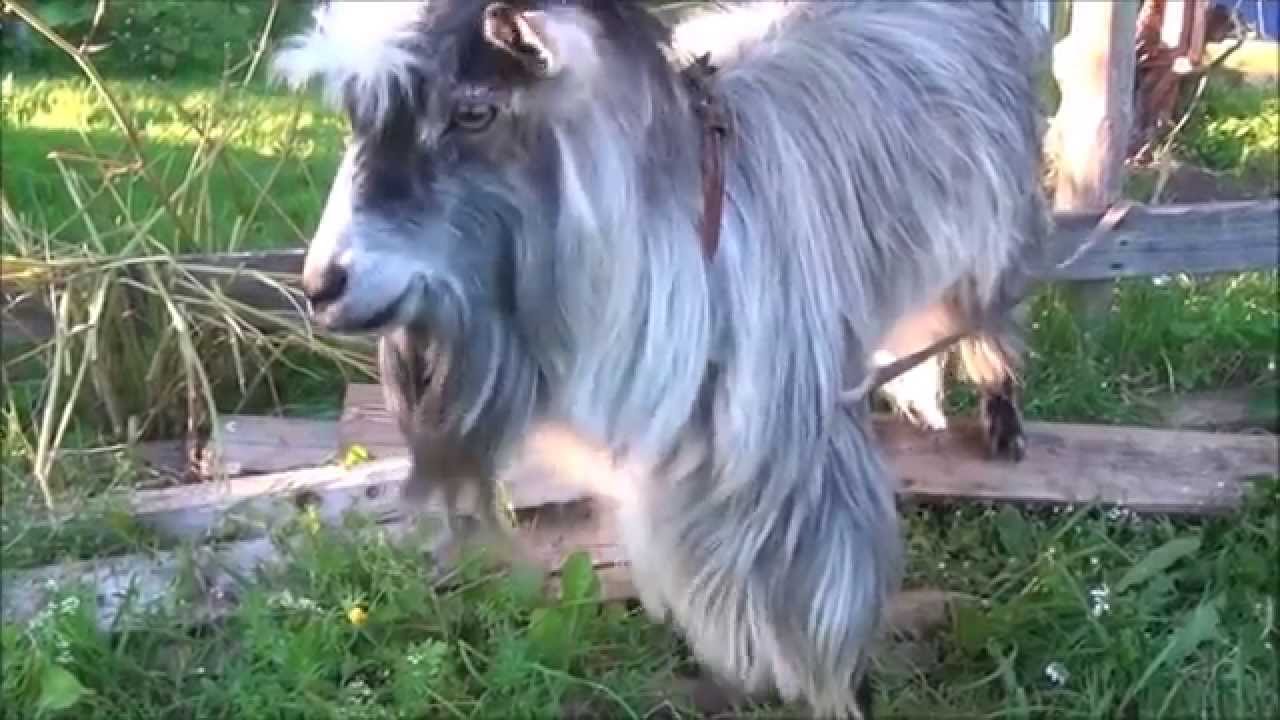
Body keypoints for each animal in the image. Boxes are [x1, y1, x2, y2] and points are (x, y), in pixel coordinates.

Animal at [273, 1, 1052, 716]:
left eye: (472, 112)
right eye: (357, 118)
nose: (323, 283)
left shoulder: (796, 458)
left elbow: (825, 598)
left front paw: (836, 694)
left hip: (994, 241)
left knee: (988, 326)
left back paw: (1002, 424)